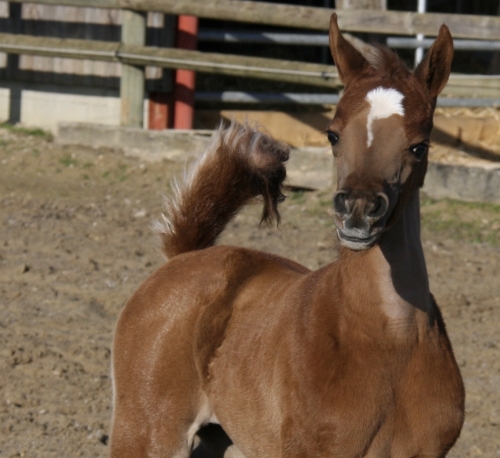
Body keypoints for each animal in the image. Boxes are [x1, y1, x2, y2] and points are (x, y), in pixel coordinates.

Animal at [109, 14, 464, 458]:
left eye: (419, 146)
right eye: (332, 134)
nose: (358, 211)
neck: (392, 338)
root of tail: (182, 257)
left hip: (219, 437)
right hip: (148, 431)